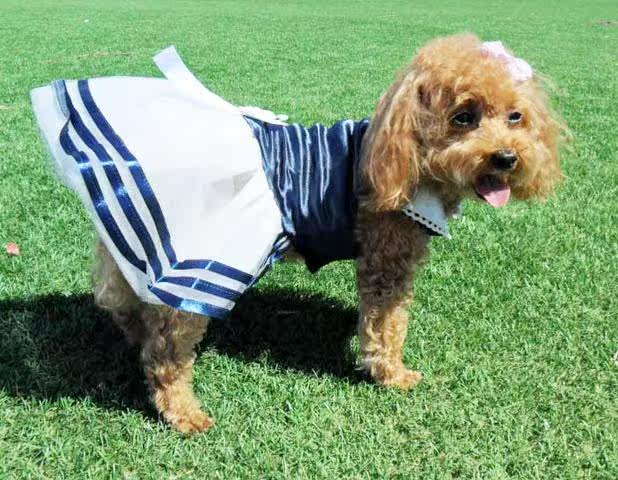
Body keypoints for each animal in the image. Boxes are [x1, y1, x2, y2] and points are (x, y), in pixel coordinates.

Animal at [68, 33, 565, 433]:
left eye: (516, 117)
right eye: (464, 116)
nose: (506, 158)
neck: (408, 161)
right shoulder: (386, 262)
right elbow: (387, 326)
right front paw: (392, 375)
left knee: (133, 308)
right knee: (167, 348)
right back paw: (183, 412)